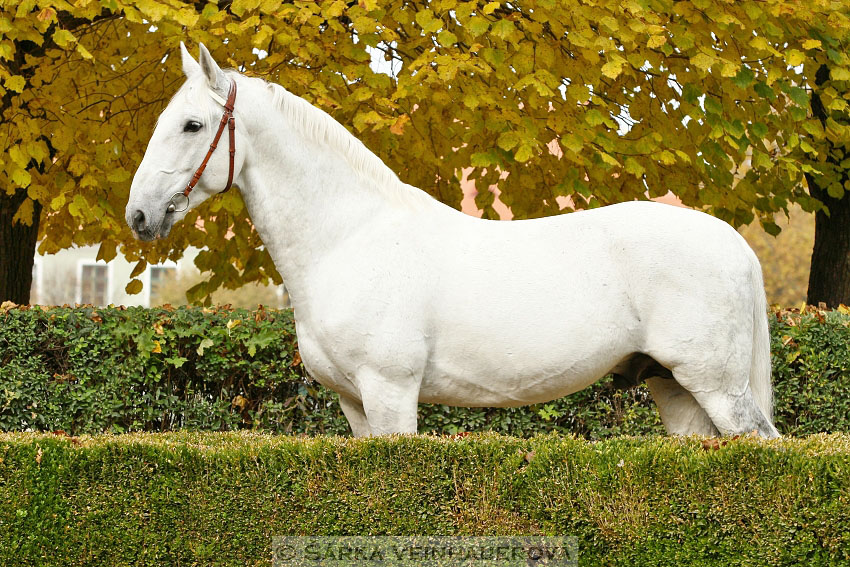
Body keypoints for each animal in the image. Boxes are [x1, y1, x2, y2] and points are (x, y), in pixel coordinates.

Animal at [122, 46, 780, 442]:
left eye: (193, 125)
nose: (139, 215)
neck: (348, 238)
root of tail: (735, 246)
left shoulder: (390, 393)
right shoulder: (355, 406)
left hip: (719, 389)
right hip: (676, 390)